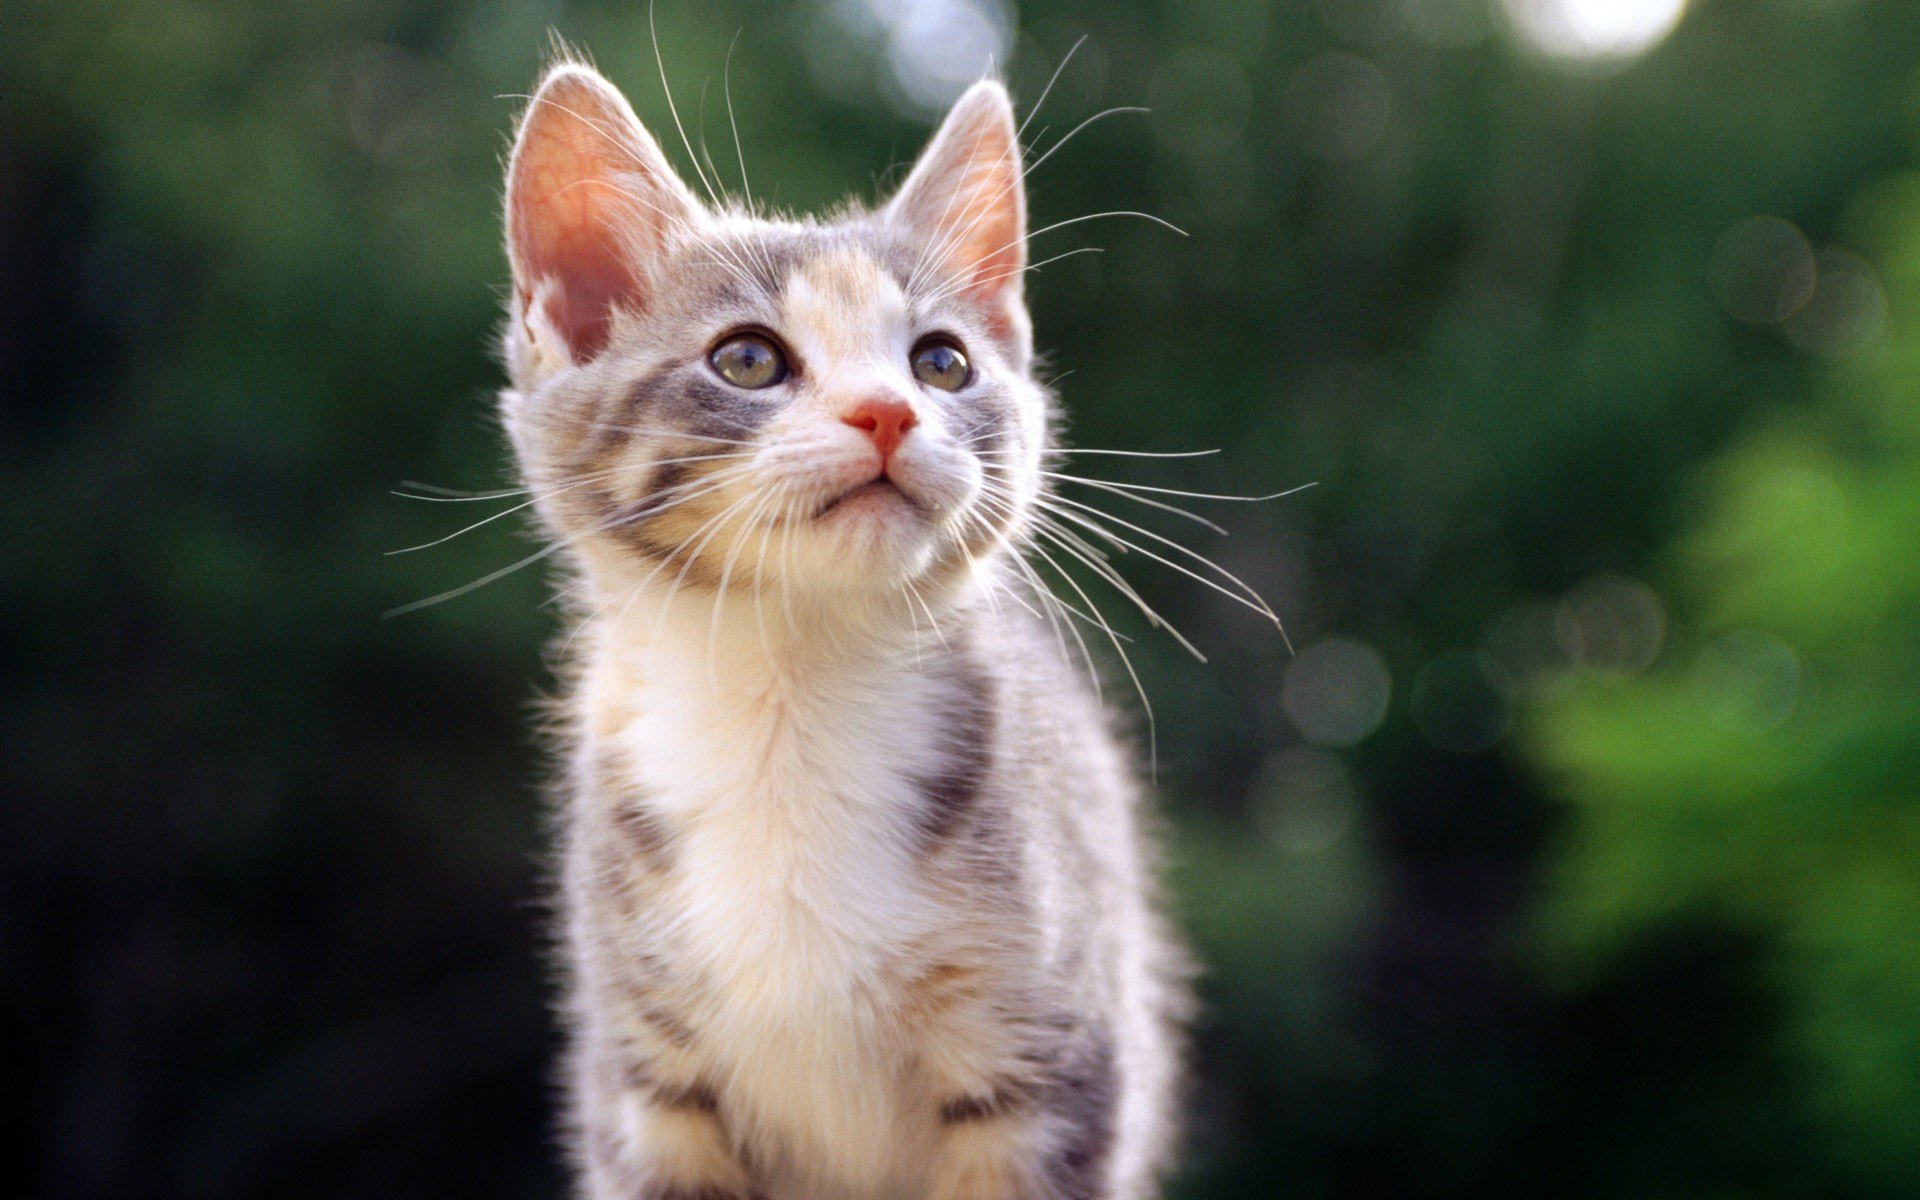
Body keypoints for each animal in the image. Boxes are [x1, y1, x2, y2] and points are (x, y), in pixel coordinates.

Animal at [491, 58, 1182, 1198]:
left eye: (942, 364)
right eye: (747, 360)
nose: (886, 412)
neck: (791, 698)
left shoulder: (1053, 1055)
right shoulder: (641, 1081)